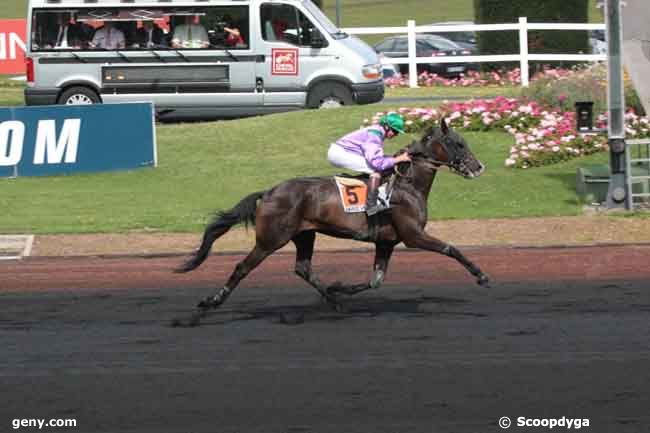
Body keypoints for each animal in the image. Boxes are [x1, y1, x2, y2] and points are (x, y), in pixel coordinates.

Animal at [175, 116, 488, 308]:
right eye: (458, 143)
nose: (478, 167)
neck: (408, 183)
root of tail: (269, 192)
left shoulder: (386, 241)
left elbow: (375, 281)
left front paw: (340, 289)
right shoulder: (413, 235)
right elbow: (451, 248)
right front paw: (481, 276)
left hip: (304, 234)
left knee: (302, 268)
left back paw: (333, 299)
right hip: (270, 239)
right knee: (242, 268)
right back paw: (211, 302)